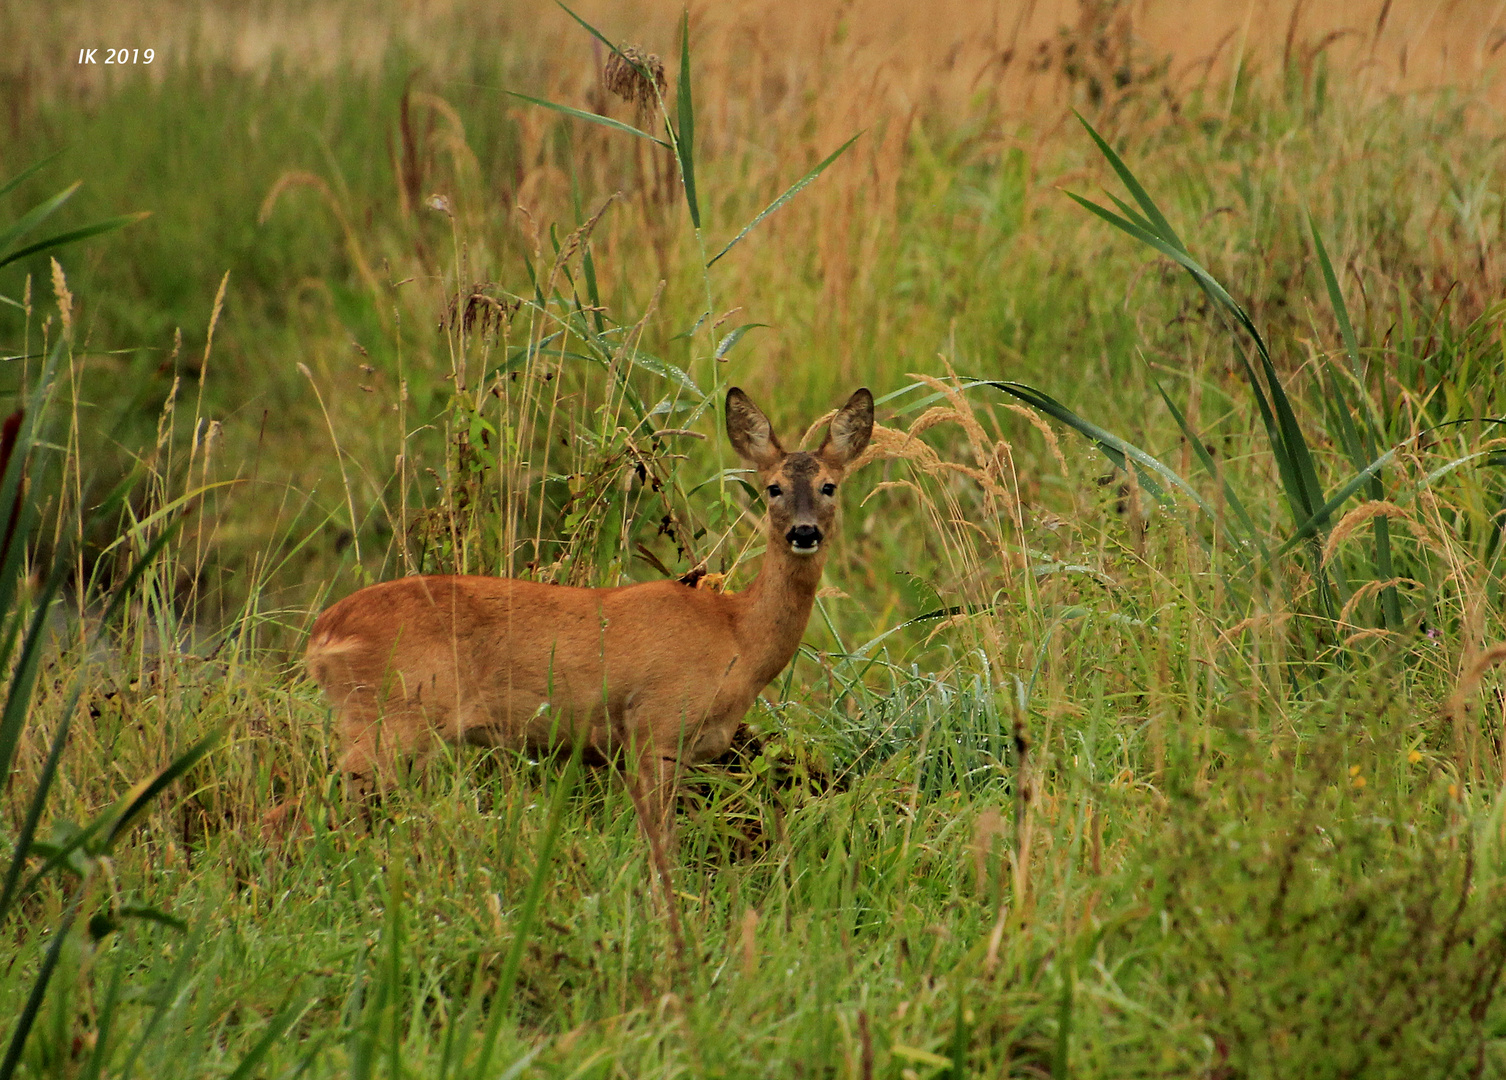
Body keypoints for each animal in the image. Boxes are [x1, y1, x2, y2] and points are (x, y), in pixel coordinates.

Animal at [301, 385, 879, 843]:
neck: (737, 637)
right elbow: (660, 841)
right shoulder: (655, 726)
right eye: (772, 488)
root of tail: (321, 636)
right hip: (388, 717)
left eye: (829, 486)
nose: (803, 532)